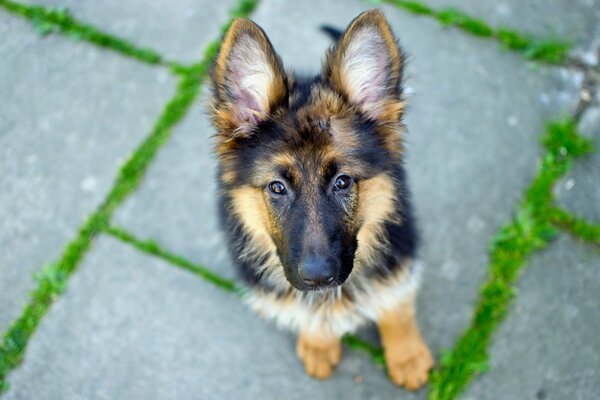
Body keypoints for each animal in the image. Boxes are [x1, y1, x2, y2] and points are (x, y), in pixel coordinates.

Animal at [210, 9, 432, 390]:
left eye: (343, 182)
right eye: (277, 187)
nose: (318, 278)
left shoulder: (400, 254)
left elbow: (396, 304)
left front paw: (406, 354)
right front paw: (318, 343)